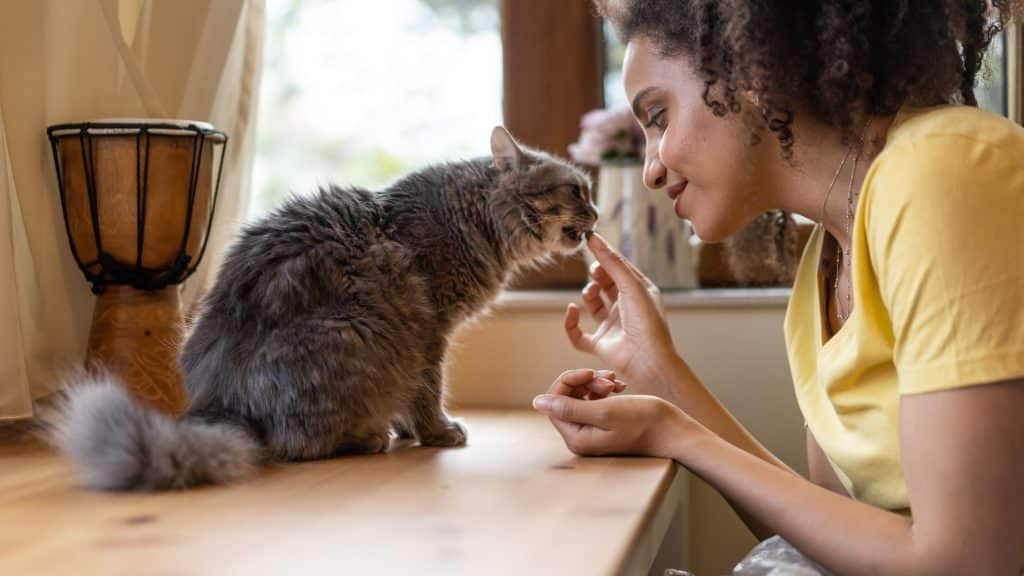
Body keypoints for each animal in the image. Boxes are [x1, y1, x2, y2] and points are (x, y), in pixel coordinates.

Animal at [54, 126, 598, 487]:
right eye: (577, 190)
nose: (595, 213)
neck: (475, 218)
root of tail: (226, 404)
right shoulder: (430, 330)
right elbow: (427, 391)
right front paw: (436, 432)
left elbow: (416, 396)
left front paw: (413, 430)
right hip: (357, 332)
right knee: (297, 445)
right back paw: (367, 438)